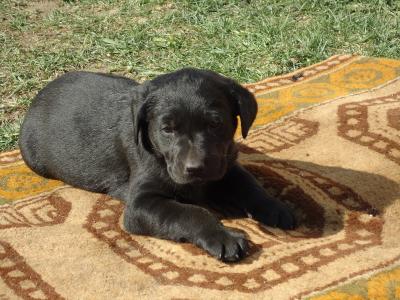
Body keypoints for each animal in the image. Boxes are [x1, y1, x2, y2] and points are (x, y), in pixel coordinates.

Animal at [18, 69, 294, 262]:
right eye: (167, 129)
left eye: (216, 123)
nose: (196, 168)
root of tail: (39, 96)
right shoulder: (141, 204)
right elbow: (190, 212)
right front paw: (223, 235)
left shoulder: (226, 164)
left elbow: (250, 185)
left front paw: (276, 207)